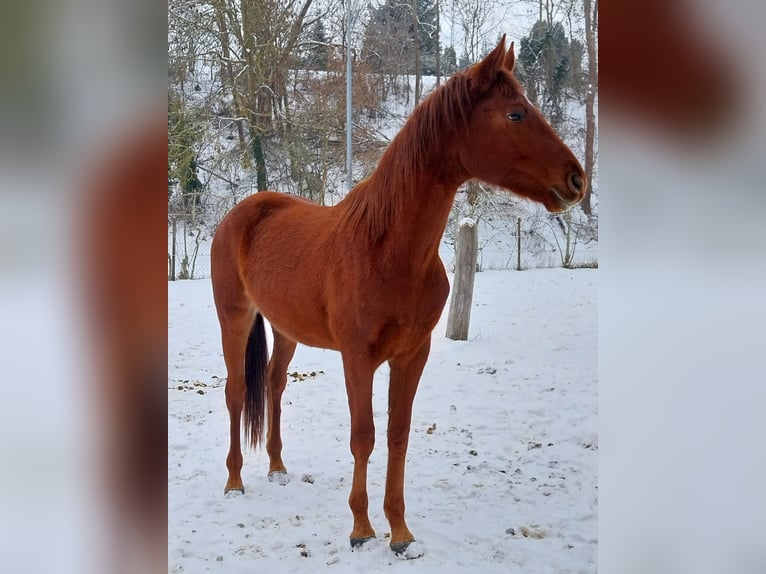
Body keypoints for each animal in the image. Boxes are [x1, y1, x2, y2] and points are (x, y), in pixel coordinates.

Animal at [210, 35, 586, 557]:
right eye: (515, 114)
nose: (577, 180)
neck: (386, 249)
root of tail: (242, 211)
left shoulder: (412, 355)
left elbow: (398, 436)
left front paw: (401, 532)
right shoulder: (358, 358)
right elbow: (364, 437)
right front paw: (361, 528)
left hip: (287, 331)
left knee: (274, 383)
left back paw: (279, 469)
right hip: (234, 317)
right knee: (236, 391)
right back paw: (233, 481)